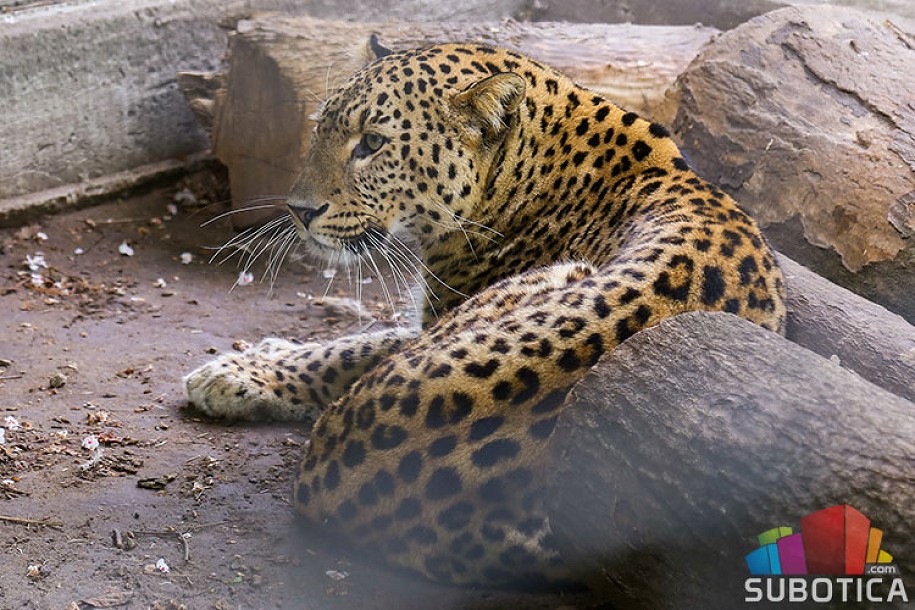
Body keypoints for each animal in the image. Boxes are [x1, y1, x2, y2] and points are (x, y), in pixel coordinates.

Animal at [185, 40, 787, 588]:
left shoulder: (438, 318)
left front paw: (235, 371)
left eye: (372, 143)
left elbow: (354, 346)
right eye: (320, 131)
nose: (299, 210)